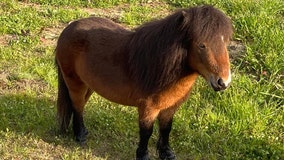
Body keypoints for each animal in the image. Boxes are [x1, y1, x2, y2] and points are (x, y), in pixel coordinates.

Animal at [55, 5, 233, 160]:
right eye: (202, 45)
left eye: (225, 43)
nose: (223, 82)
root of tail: (67, 29)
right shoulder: (148, 108)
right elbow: (146, 132)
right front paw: (143, 155)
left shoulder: (170, 107)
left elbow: (166, 128)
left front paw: (166, 153)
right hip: (74, 82)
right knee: (77, 105)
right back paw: (80, 135)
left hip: (89, 84)